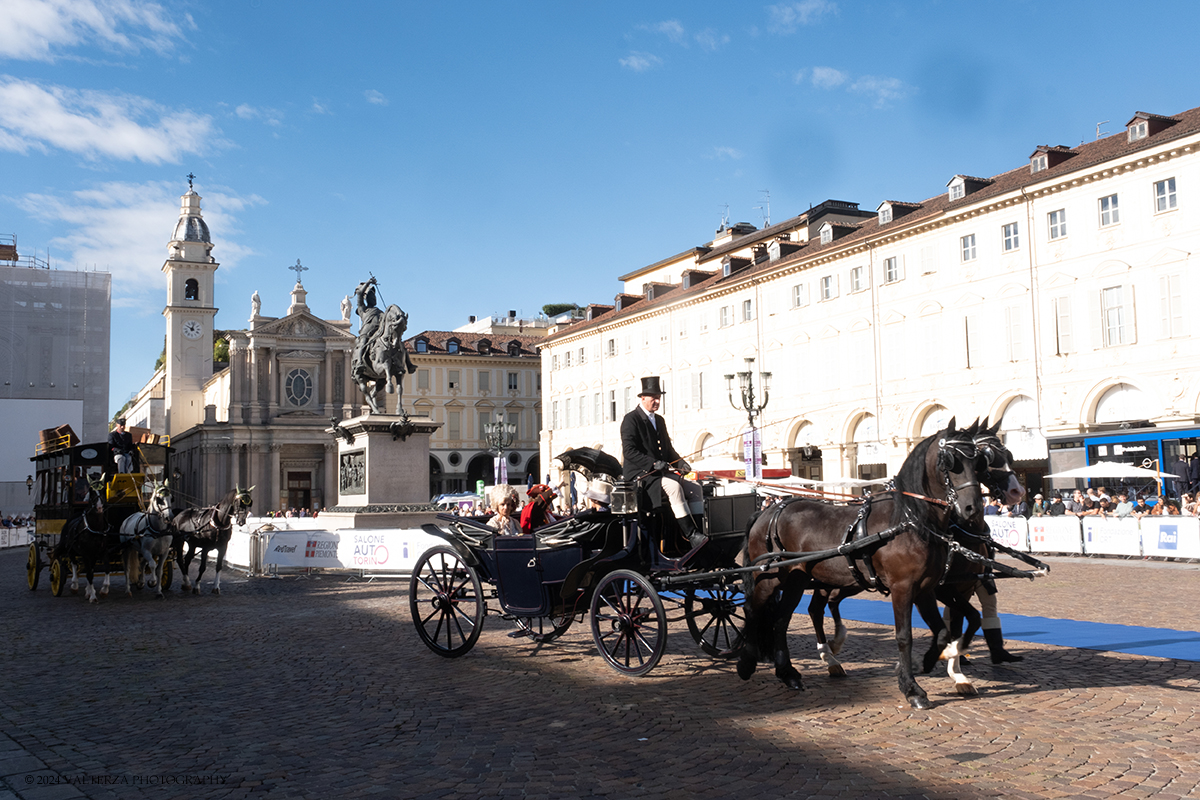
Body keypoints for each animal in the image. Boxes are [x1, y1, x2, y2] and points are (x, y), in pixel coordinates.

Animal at [739, 419, 984, 705]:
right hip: (770, 577)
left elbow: (942, 632)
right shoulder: (903, 588)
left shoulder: (925, 588)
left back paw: (788, 673)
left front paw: (928, 662)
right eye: (950, 461)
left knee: (781, 619)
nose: (972, 508)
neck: (910, 521)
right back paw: (746, 663)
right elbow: (904, 636)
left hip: (796, 580)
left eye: (977, 460)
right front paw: (911, 687)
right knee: (752, 610)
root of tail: (768, 509)